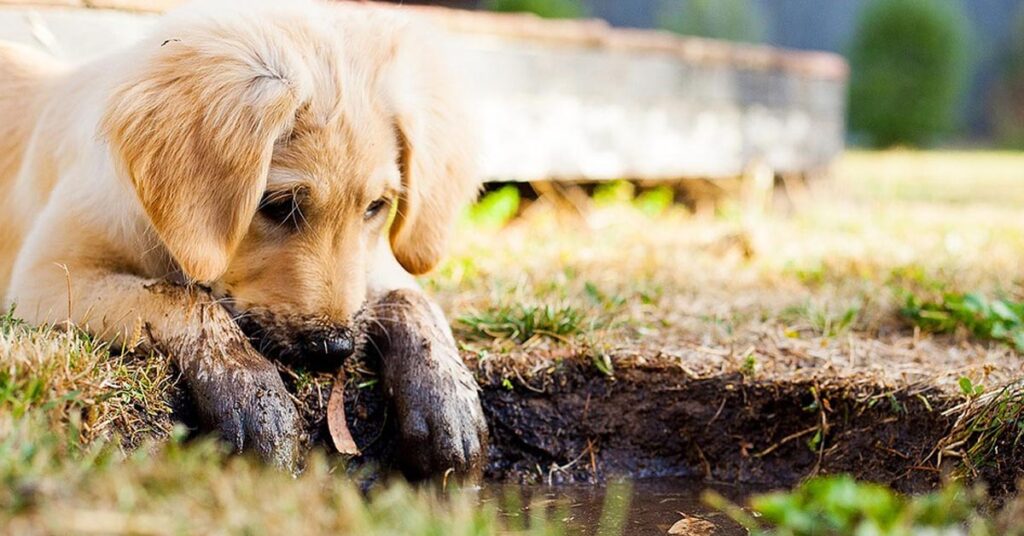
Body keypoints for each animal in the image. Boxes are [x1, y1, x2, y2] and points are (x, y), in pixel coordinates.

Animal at [0, 0, 487, 475]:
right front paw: (252, 394)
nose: (335, 350)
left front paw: (446, 398)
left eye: (375, 207)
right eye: (279, 206)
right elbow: (180, 297)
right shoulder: (44, 280)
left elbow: (411, 297)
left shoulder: (369, 263)